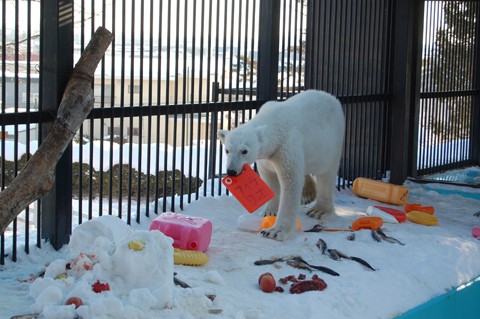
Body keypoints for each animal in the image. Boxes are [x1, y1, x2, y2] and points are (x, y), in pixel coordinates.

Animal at [218, 89, 344, 240]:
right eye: (227, 150)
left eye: (244, 151)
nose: (231, 171)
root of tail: (331, 97)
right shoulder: (267, 157)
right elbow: (269, 178)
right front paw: (269, 211)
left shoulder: (286, 146)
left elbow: (291, 180)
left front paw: (274, 231)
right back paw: (308, 193)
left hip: (331, 144)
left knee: (326, 174)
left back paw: (319, 210)